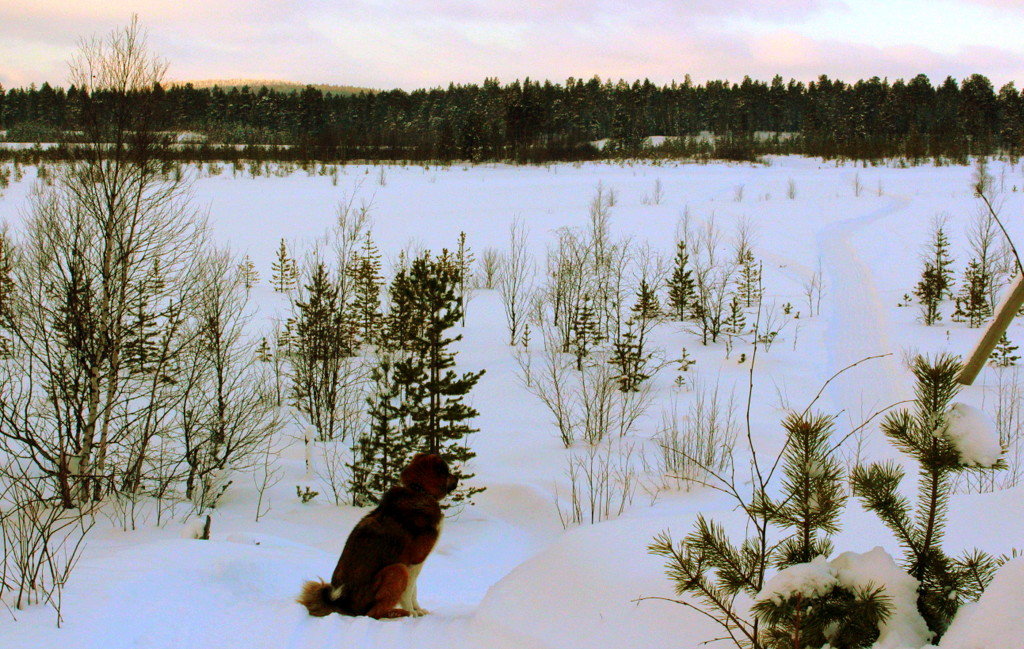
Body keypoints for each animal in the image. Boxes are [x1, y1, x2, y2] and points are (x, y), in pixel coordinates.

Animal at [296, 450, 456, 618]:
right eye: (447, 472)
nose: (457, 478)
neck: (418, 490)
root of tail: (344, 605)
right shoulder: (414, 561)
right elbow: (409, 592)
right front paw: (413, 612)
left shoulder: (413, 565)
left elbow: (414, 592)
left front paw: (418, 610)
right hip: (397, 570)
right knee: (374, 613)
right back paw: (400, 613)